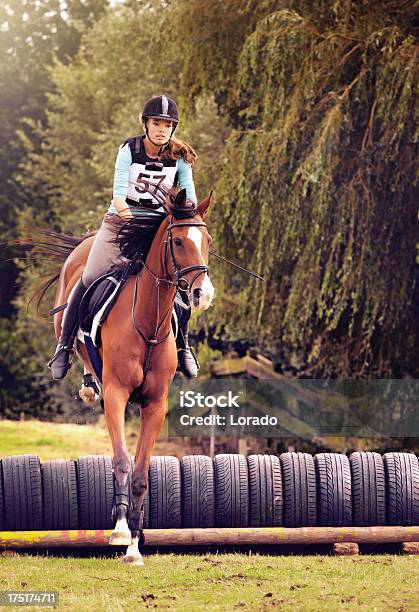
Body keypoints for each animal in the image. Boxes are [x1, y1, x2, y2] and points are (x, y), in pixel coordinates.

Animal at [29, 188, 215, 564]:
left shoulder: (154, 404)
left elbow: (141, 473)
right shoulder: (116, 394)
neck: (147, 322)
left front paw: (134, 548)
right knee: (75, 343)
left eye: (208, 241)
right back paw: (80, 378)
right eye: (177, 241)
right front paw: (120, 532)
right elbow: (121, 462)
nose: (202, 294)